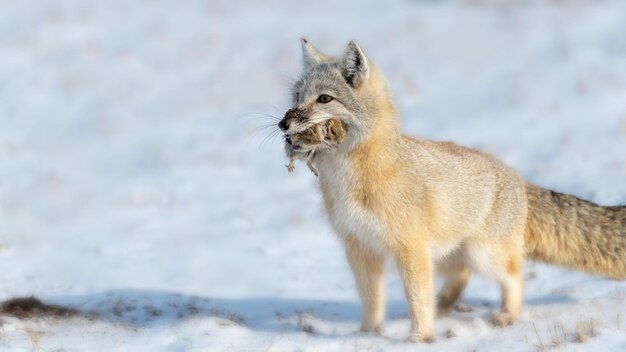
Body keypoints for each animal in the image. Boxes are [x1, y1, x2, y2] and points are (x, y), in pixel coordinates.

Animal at [276, 39, 624, 344]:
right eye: (297, 96)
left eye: (324, 99)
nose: (283, 124)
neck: (350, 181)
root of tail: (518, 179)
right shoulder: (360, 247)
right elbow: (372, 300)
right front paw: (367, 335)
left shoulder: (409, 249)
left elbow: (416, 298)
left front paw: (419, 338)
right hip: (444, 256)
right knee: (462, 276)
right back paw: (443, 307)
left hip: (483, 256)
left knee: (514, 277)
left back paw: (506, 316)